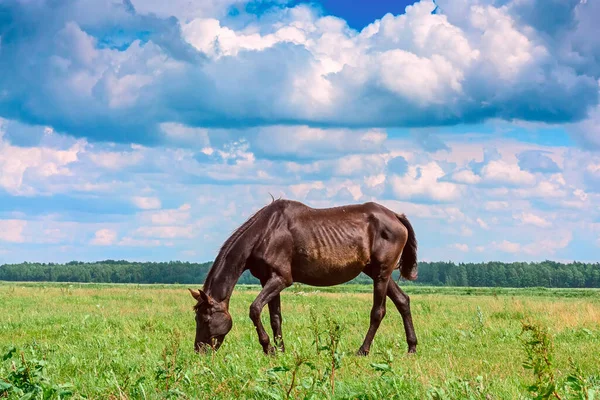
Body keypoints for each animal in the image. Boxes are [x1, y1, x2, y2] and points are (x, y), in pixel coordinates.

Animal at [188, 199, 418, 356]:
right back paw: (412, 347)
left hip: (381, 274)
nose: (199, 350)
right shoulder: (267, 280)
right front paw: (280, 350)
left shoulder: (280, 279)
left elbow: (255, 309)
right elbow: (275, 317)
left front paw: (268, 348)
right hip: (377, 272)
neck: (265, 232)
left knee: (378, 312)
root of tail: (396, 216)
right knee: (403, 301)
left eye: (205, 319)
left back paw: (363, 350)